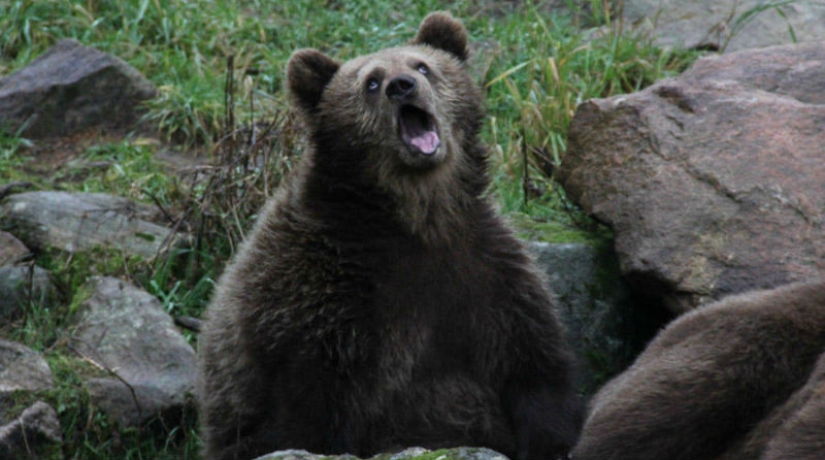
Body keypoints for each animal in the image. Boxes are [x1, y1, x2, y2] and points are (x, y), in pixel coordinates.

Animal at [195, 10, 580, 460]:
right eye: (372, 82)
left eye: (422, 65)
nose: (402, 86)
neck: (415, 217)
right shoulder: (321, 299)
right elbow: (308, 415)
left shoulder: (487, 274)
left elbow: (534, 369)